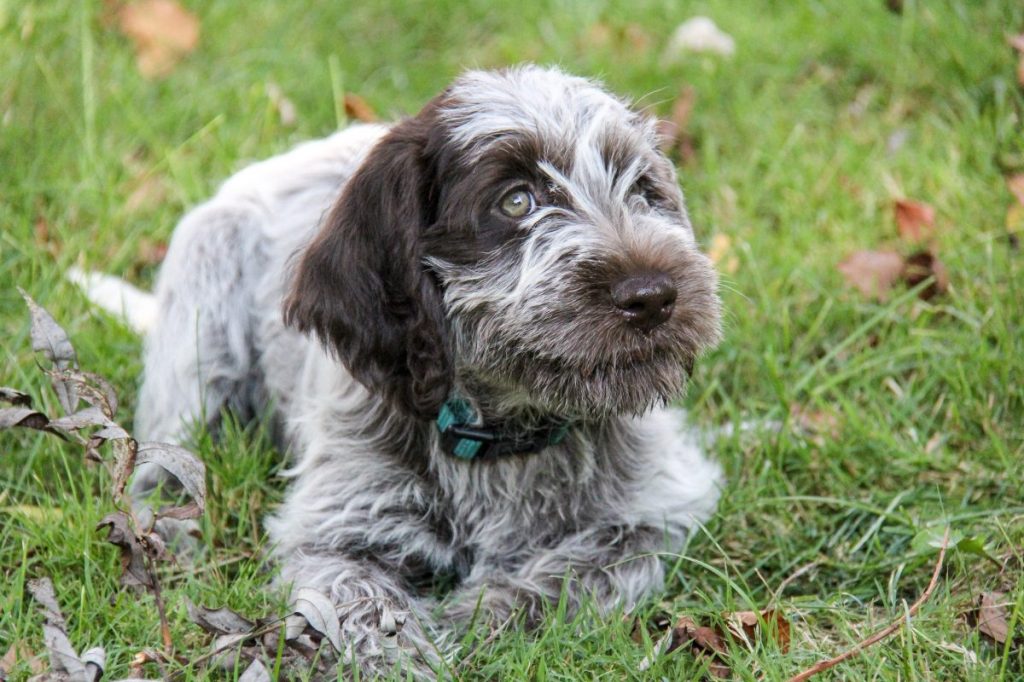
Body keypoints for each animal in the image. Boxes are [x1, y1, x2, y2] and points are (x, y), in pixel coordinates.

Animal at [130, 65, 720, 675]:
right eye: (517, 202)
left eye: (643, 190)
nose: (653, 297)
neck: (501, 435)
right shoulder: (337, 532)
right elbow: (365, 607)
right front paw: (412, 656)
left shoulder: (657, 510)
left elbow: (575, 574)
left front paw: (474, 622)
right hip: (203, 302)